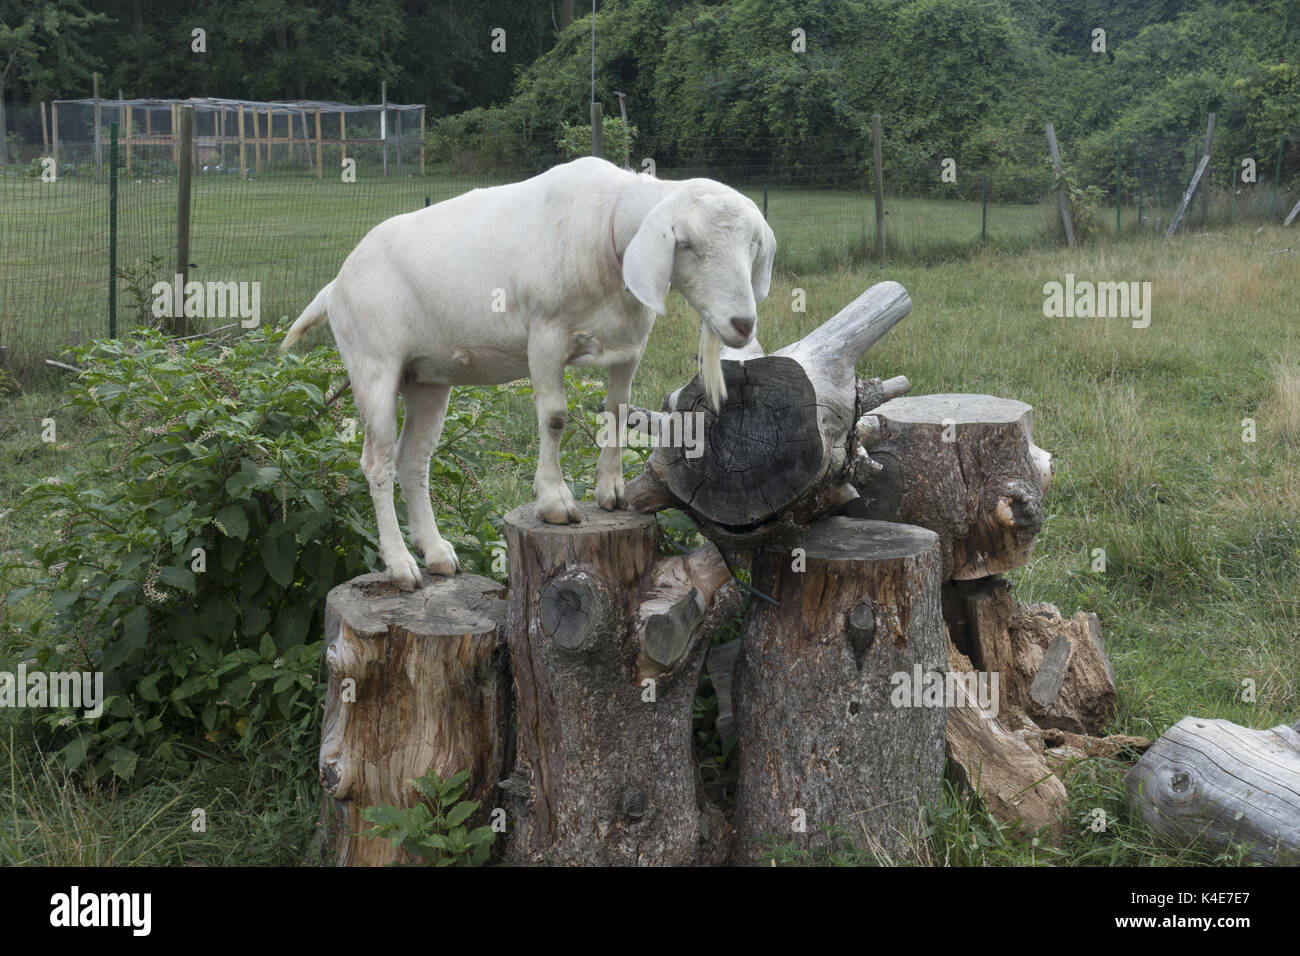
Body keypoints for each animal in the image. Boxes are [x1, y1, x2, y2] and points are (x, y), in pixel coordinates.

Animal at [282, 156, 776, 591]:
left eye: (751, 245)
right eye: (688, 244)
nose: (742, 324)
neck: (607, 230)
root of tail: (335, 285)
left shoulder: (629, 348)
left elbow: (617, 411)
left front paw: (612, 492)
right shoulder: (545, 335)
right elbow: (554, 416)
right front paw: (555, 502)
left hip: (426, 379)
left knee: (413, 460)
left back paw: (437, 553)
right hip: (373, 366)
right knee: (377, 462)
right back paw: (402, 566)